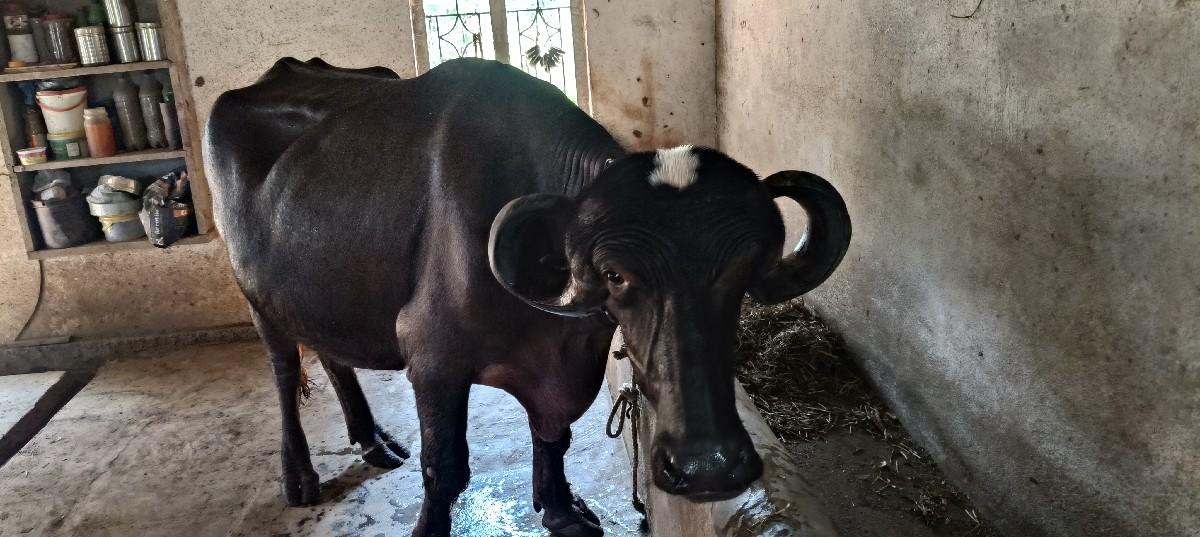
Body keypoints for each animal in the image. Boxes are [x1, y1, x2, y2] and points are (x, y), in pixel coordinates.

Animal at [204, 57, 851, 537]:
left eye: (744, 271)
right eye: (615, 275)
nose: (707, 466)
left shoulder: (563, 364)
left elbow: (554, 432)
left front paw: (561, 508)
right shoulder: (432, 358)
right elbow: (446, 467)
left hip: (313, 290)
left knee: (333, 355)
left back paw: (373, 439)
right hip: (255, 294)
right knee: (284, 368)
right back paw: (299, 474)